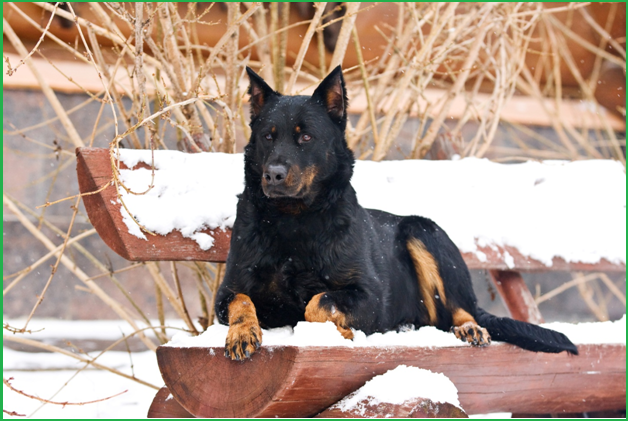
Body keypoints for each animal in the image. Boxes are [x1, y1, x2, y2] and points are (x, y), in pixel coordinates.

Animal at [213, 65, 576, 358]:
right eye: (267, 137)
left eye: (305, 137)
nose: (273, 174)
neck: (295, 219)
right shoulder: (227, 292)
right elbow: (242, 300)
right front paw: (243, 333)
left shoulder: (370, 296)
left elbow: (319, 302)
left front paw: (344, 331)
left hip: (423, 231)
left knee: (461, 308)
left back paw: (467, 327)